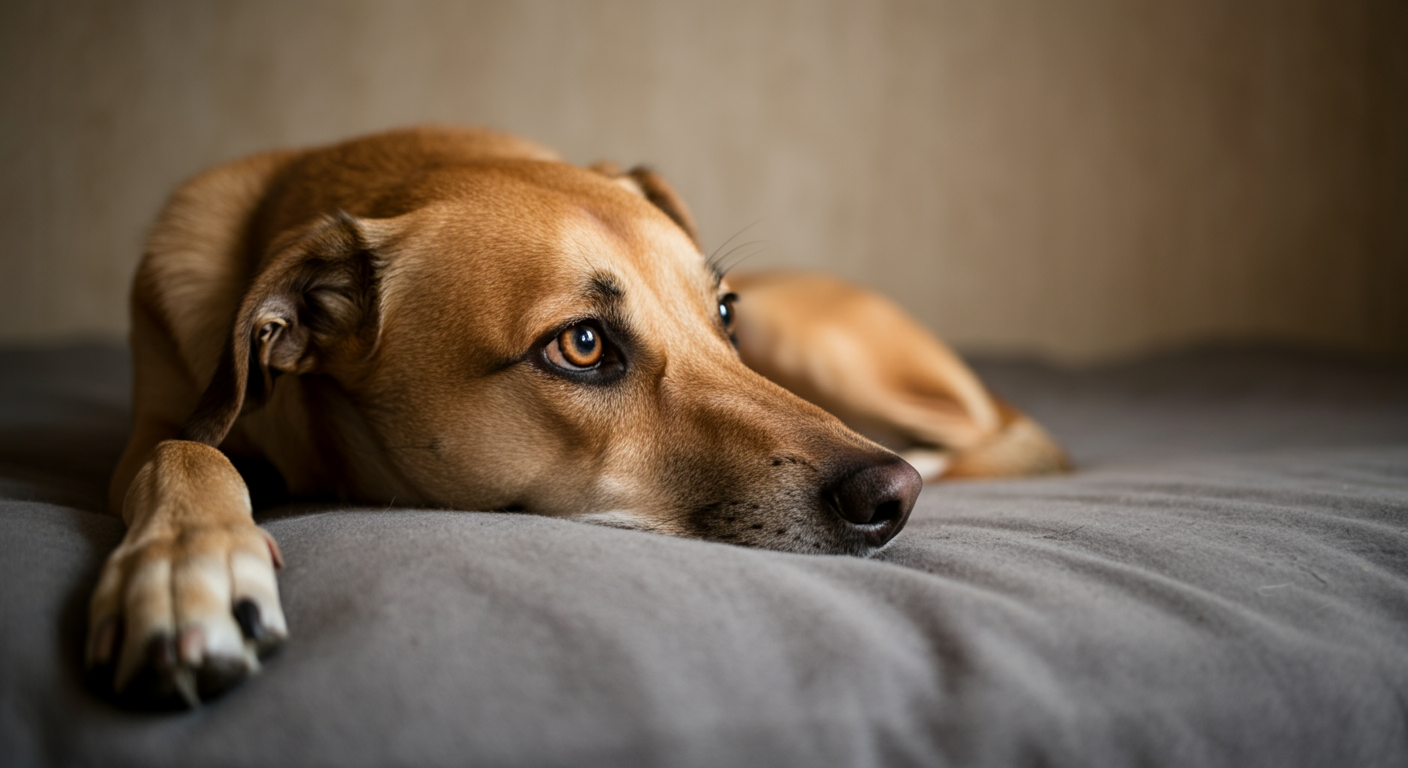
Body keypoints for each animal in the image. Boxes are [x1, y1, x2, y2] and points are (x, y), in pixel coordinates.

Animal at [90, 125, 1064, 707]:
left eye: (723, 312)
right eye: (584, 345)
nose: (893, 497)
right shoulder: (151, 433)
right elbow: (186, 450)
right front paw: (184, 567)